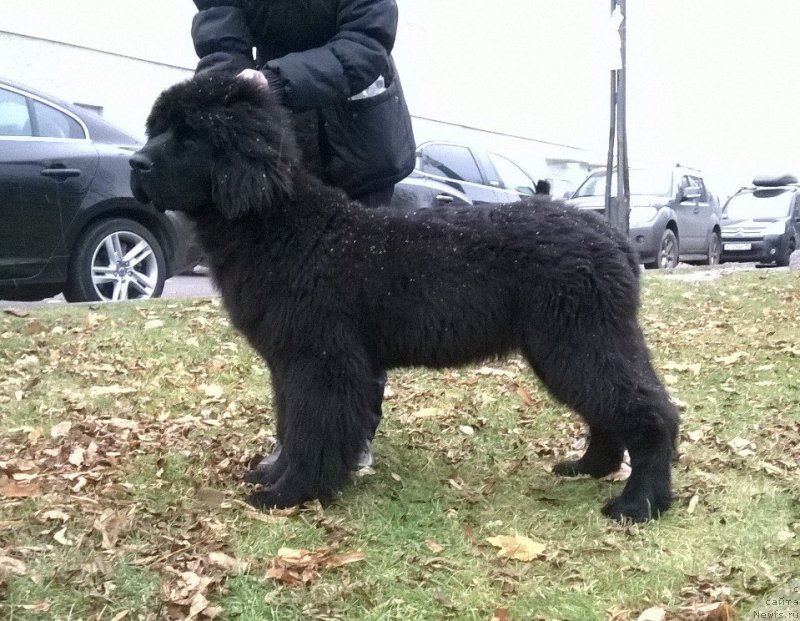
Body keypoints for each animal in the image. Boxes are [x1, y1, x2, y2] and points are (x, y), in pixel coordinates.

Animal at [131, 72, 680, 520]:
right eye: (157, 129)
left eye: (191, 135)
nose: (135, 163)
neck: (282, 226)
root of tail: (611, 235)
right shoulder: (289, 363)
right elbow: (290, 424)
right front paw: (274, 474)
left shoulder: (321, 361)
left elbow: (311, 430)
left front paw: (290, 493)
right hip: (568, 347)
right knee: (610, 409)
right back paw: (589, 467)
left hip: (579, 341)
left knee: (650, 412)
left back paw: (640, 503)